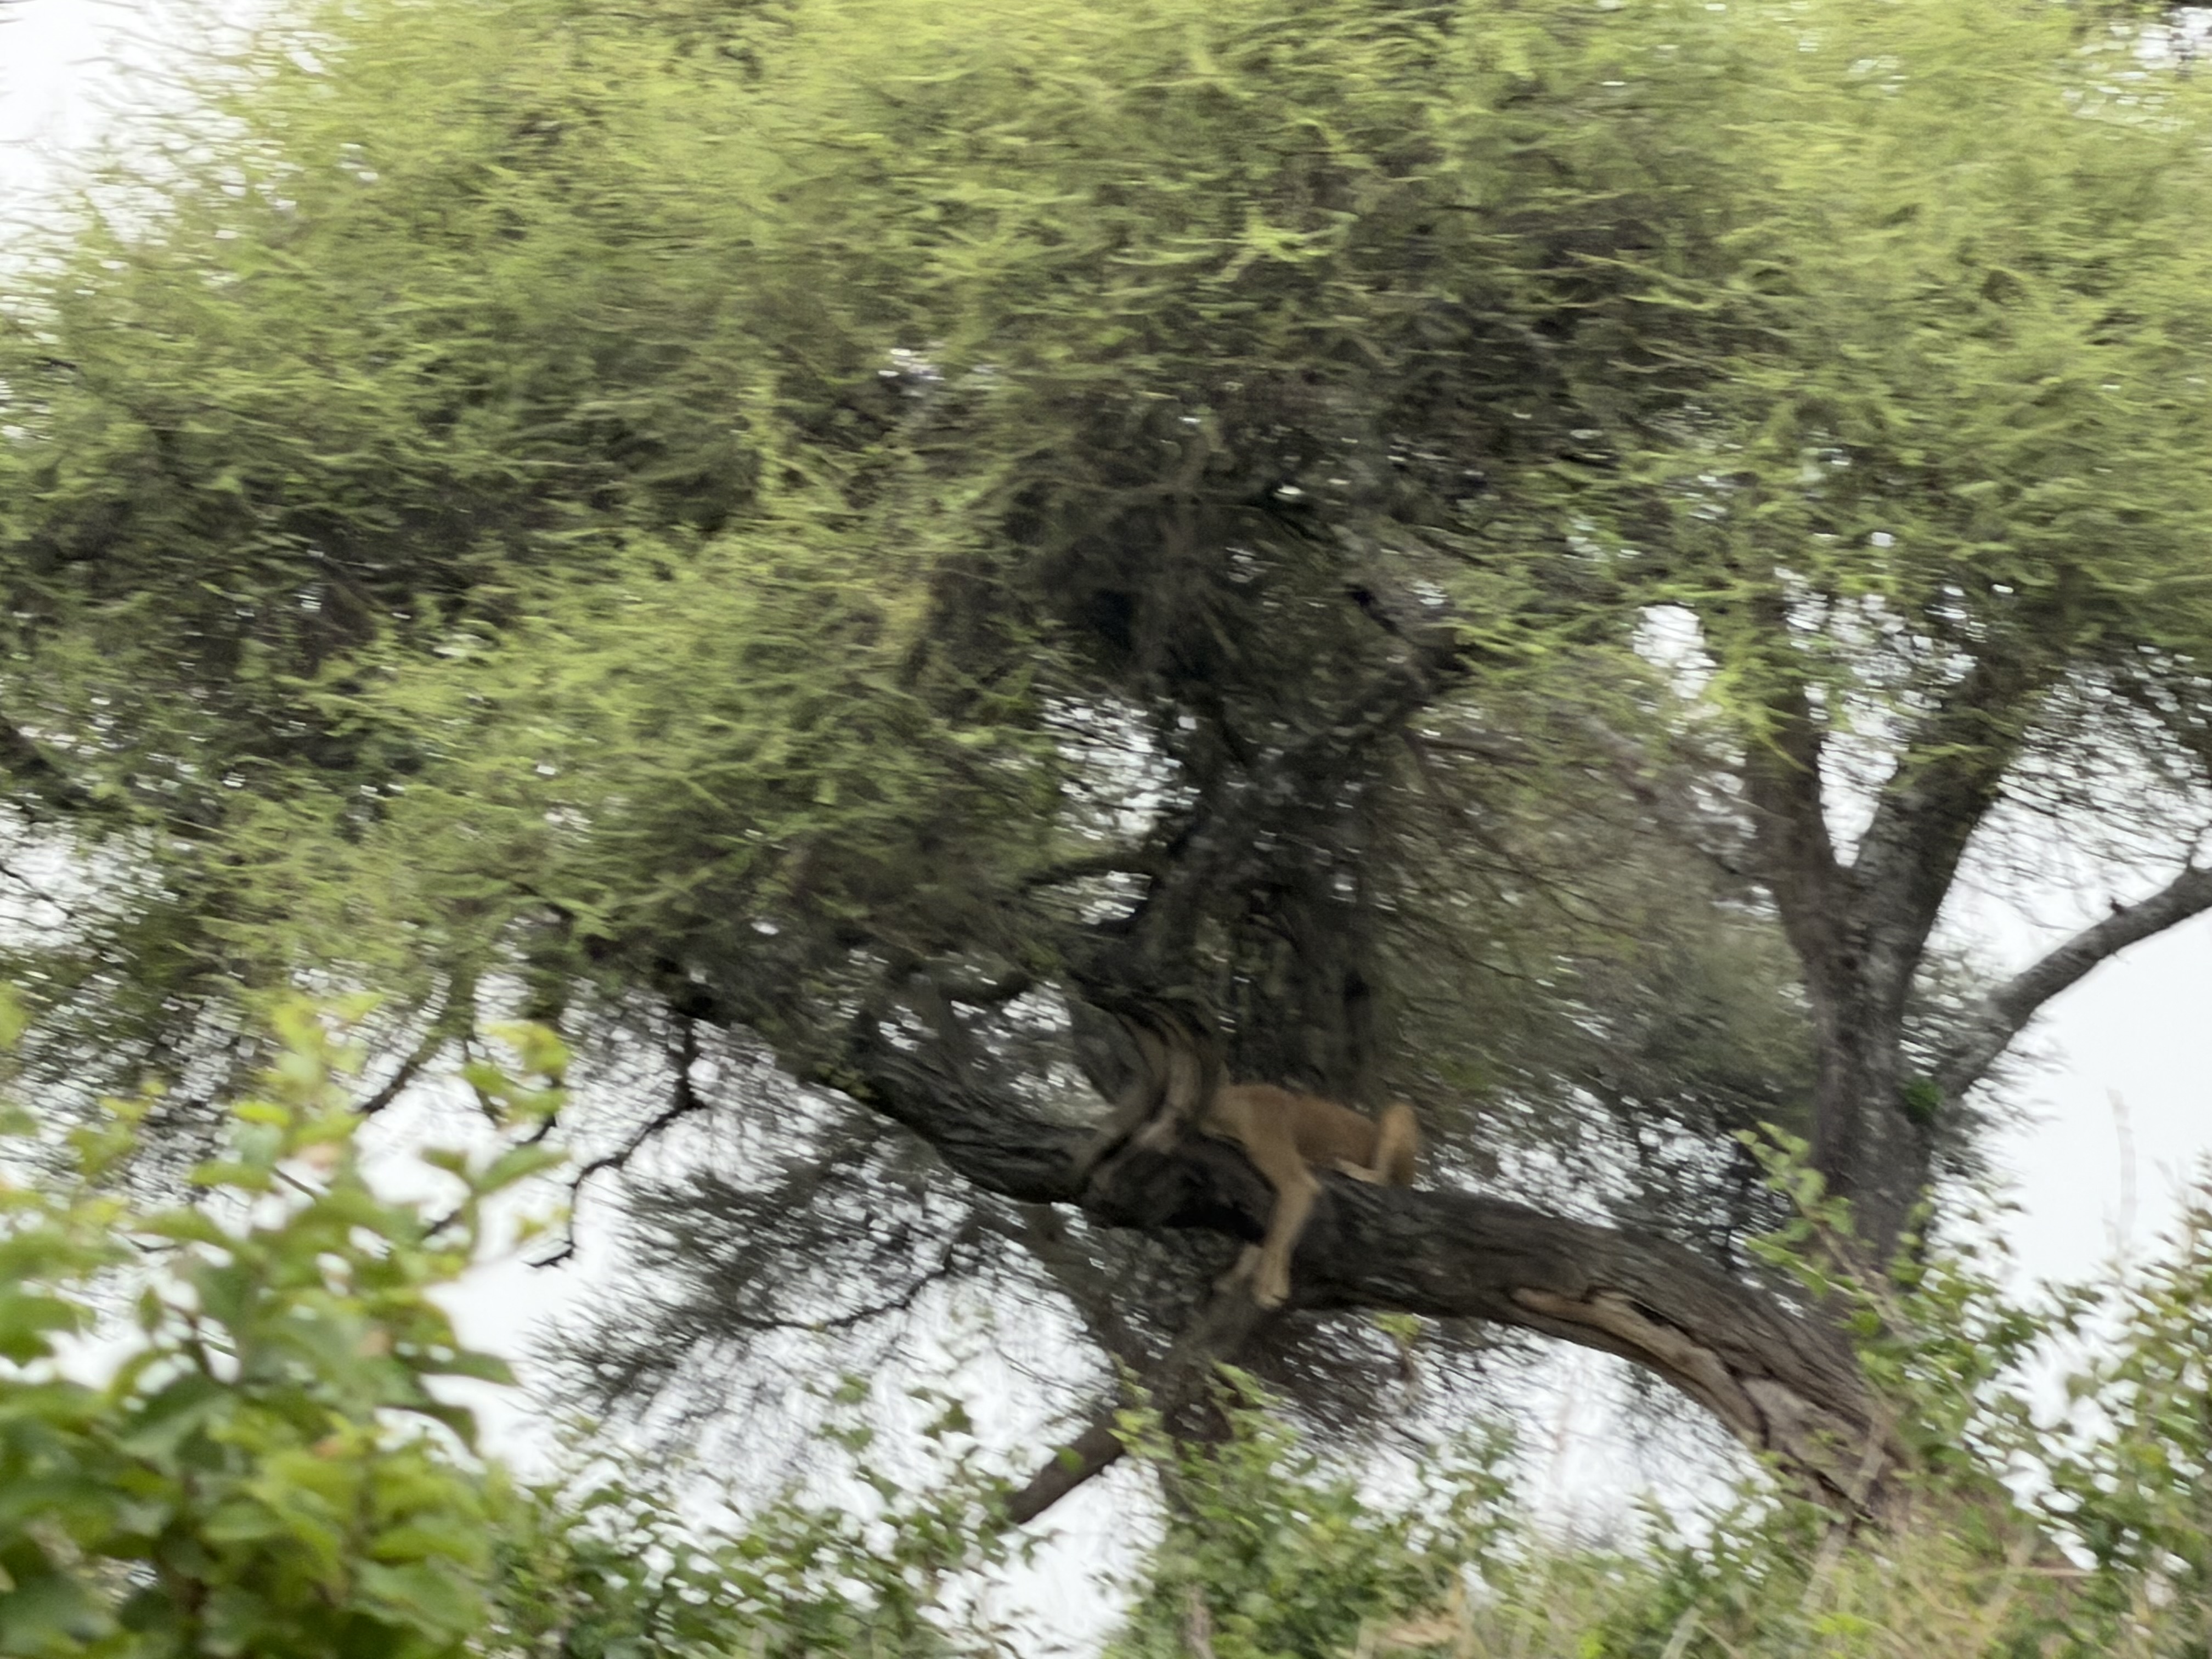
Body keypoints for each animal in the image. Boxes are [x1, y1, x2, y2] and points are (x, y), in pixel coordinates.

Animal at [1072, 1002, 1420, 1309]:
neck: (1229, 1108)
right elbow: (1269, 1232)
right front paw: (1246, 1279)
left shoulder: (1293, 1175)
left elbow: (1280, 1228)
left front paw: (1269, 1289)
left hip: (1398, 1113)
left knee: (1387, 1179)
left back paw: (1351, 1169)